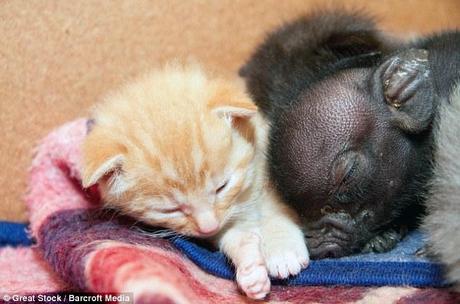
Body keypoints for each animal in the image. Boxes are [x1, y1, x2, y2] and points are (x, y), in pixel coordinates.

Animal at [81, 63, 310, 300]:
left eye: (222, 187)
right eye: (170, 210)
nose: (208, 227)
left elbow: (275, 208)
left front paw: (282, 248)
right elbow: (232, 237)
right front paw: (249, 265)